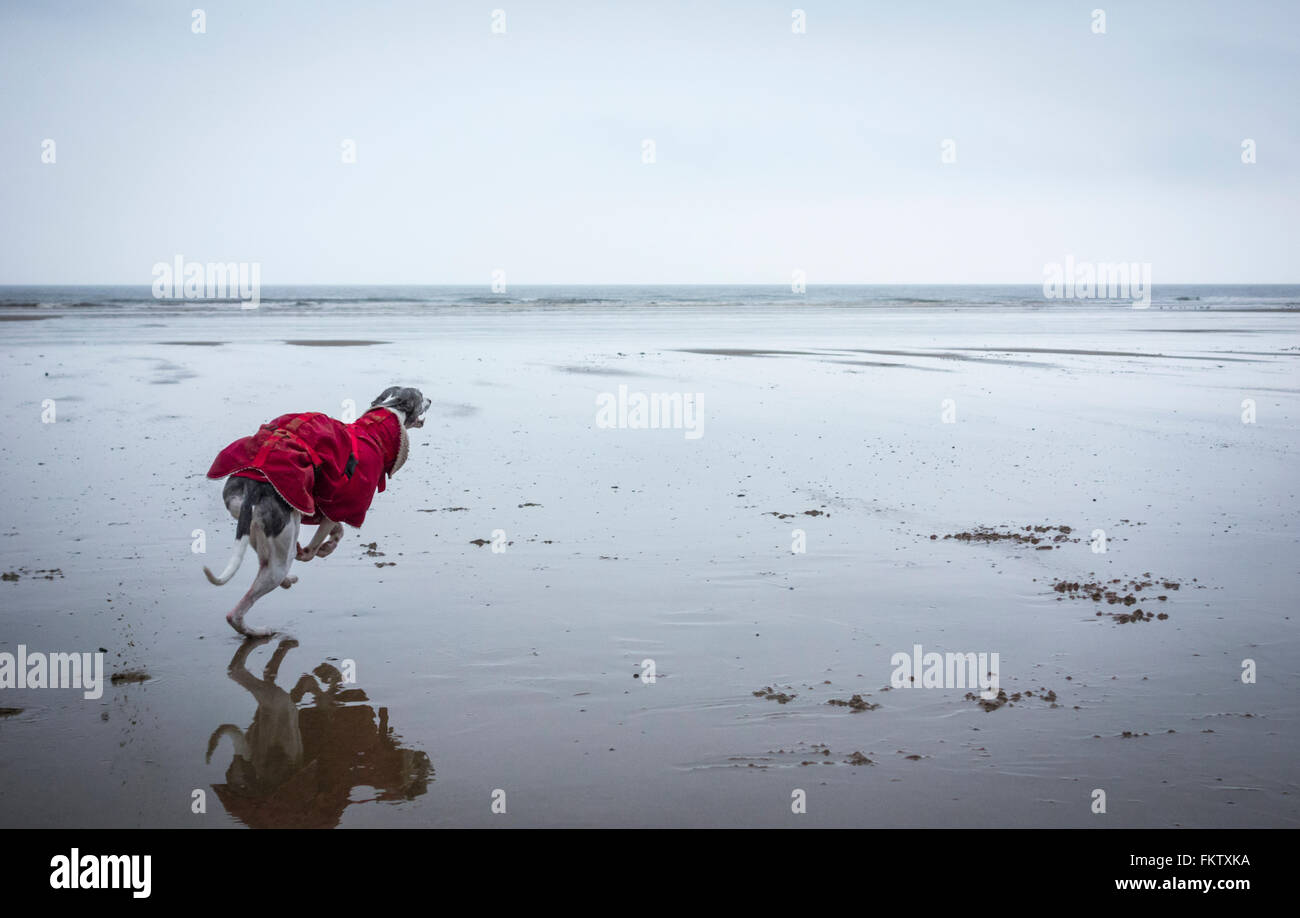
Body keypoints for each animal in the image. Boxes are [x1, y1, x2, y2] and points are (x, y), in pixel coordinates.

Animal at [200, 382, 428, 631]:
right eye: (421, 396)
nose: (431, 400)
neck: (380, 421)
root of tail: (254, 485)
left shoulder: (322, 508)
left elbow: (338, 531)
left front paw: (327, 547)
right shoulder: (341, 504)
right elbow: (316, 546)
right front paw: (314, 550)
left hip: (253, 525)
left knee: (263, 563)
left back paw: (285, 584)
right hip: (283, 542)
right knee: (238, 611)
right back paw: (258, 630)